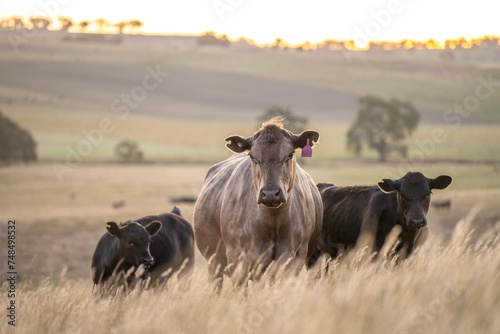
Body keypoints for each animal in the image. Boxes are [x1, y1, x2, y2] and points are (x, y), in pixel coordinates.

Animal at [191, 117, 324, 288]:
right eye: (252, 157)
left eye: (290, 154)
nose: (270, 193)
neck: (272, 221)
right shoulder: (238, 262)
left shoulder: (293, 259)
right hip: (214, 264)